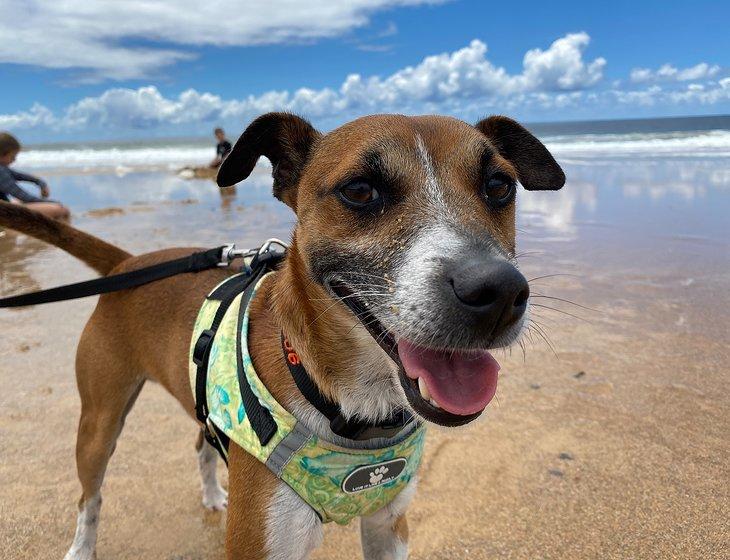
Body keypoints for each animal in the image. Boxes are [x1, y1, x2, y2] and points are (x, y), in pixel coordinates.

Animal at [0, 114, 564, 560]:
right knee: (89, 499)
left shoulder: (389, 526)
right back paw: (81, 548)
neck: (351, 407)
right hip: (99, 422)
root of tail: (127, 263)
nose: (497, 292)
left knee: (200, 443)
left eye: (499, 186)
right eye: (360, 191)